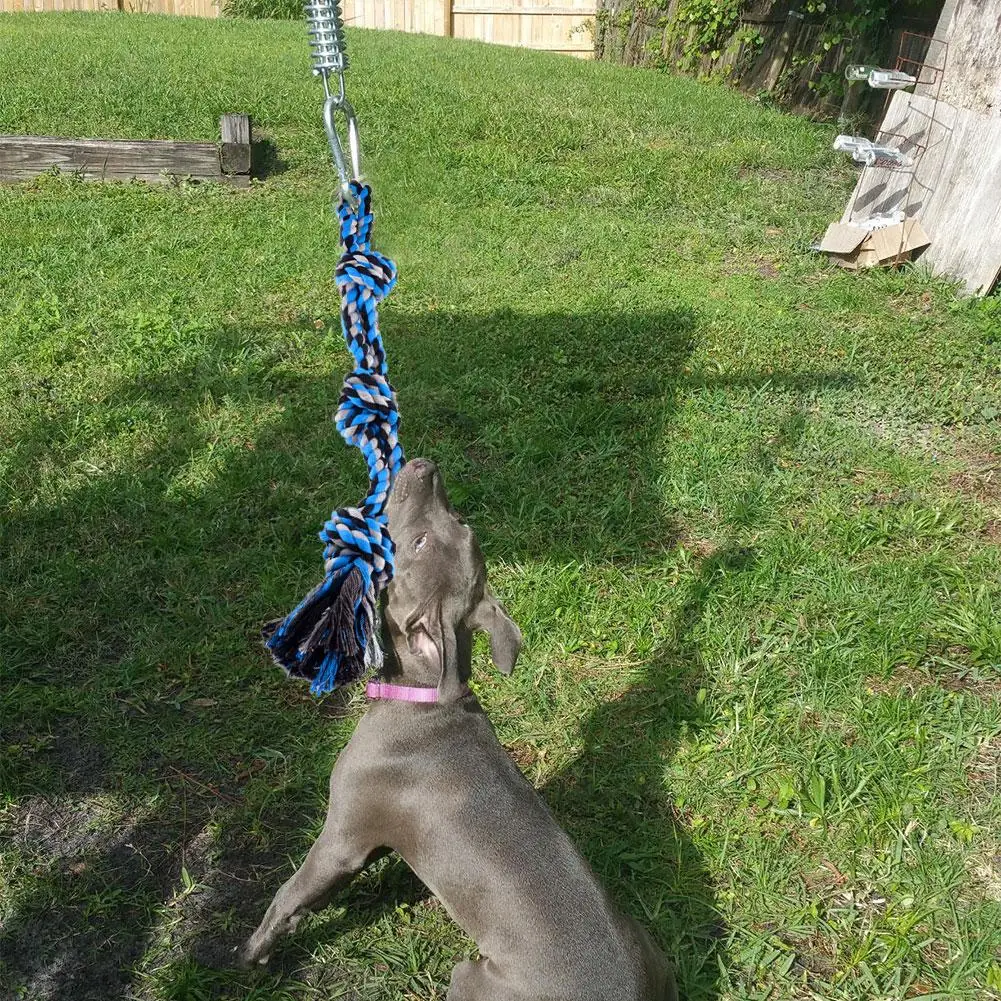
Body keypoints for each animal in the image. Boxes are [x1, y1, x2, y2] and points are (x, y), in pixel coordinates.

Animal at [240, 460, 680, 1001]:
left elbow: (288, 896)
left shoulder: (343, 837)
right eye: (462, 521)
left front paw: (251, 953)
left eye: (419, 542)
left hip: (468, 974)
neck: (424, 699)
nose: (424, 466)